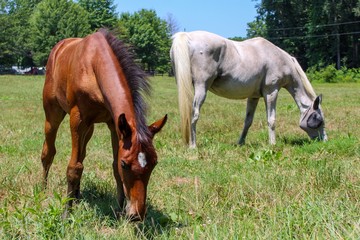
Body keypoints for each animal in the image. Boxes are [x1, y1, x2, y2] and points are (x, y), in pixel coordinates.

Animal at [41, 28, 168, 221]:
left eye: (154, 163)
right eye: (125, 164)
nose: (136, 214)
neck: (94, 64)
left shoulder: (115, 124)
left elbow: (110, 166)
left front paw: (119, 208)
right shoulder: (77, 119)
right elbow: (73, 167)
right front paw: (66, 213)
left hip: (90, 128)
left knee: (82, 155)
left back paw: (76, 195)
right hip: (53, 115)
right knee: (48, 152)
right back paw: (42, 190)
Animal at [170, 31, 328, 148]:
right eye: (319, 119)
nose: (325, 141)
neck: (279, 58)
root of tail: (187, 36)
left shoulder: (254, 97)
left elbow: (248, 121)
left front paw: (240, 143)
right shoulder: (271, 92)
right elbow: (271, 119)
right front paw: (272, 144)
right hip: (201, 87)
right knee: (194, 114)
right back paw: (193, 145)